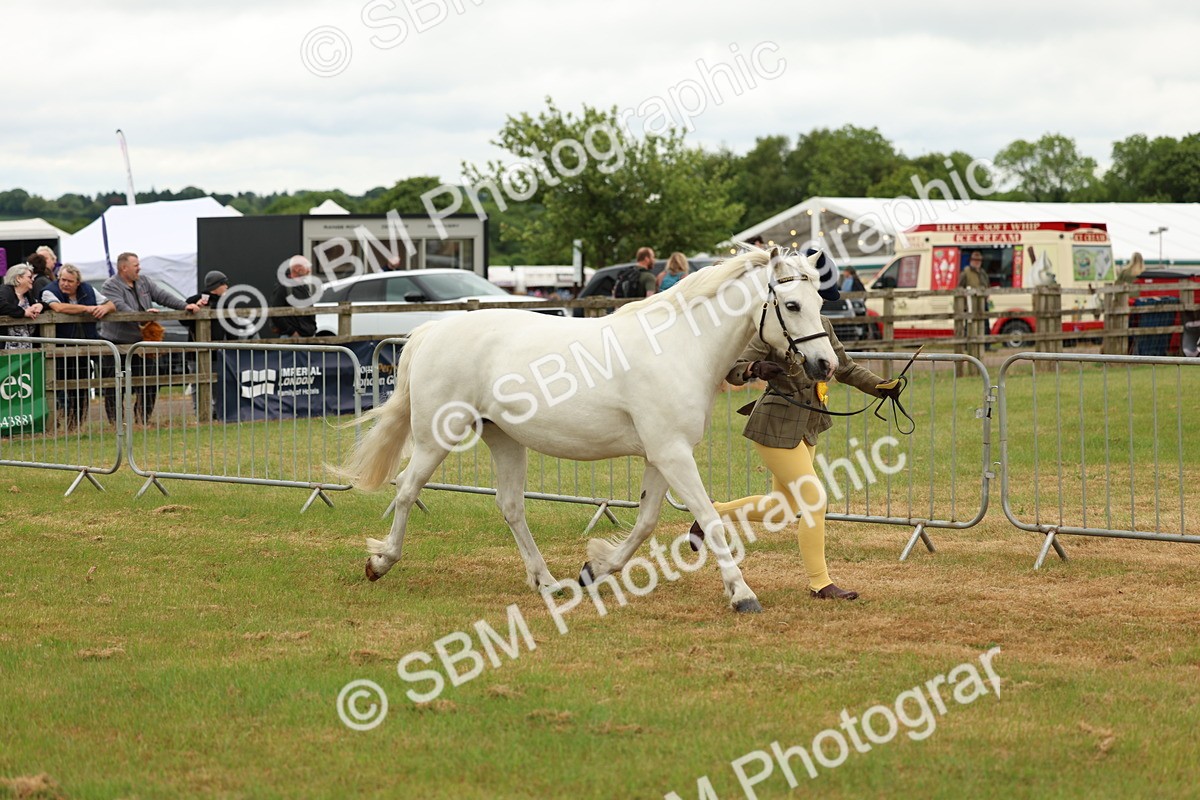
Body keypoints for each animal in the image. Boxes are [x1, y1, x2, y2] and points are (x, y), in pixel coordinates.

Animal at [339, 248, 838, 612]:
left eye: (819, 303)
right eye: (791, 304)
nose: (825, 365)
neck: (679, 347)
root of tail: (431, 332)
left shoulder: (660, 455)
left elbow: (646, 521)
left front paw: (594, 570)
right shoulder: (673, 453)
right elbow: (709, 519)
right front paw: (742, 594)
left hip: (503, 438)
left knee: (511, 506)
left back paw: (547, 582)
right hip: (436, 436)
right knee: (407, 489)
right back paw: (380, 562)